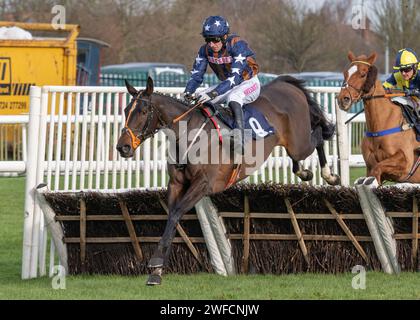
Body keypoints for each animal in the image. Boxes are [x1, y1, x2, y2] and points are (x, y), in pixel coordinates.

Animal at [116, 75, 340, 284]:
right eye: (126, 110)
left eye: (143, 111)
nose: (122, 147)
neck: (190, 135)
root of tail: (286, 84)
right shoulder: (176, 184)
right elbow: (171, 216)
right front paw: (157, 271)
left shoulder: (203, 184)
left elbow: (176, 213)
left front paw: (156, 264)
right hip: (291, 143)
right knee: (300, 156)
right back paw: (304, 172)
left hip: (299, 143)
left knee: (318, 135)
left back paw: (329, 175)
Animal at [336, 51, 420, 184]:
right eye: (345, 73)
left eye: (363, 74)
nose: (343, 99)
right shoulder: (369, 165)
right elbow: (373, 171)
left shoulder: (405, 162)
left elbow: (378, 168)